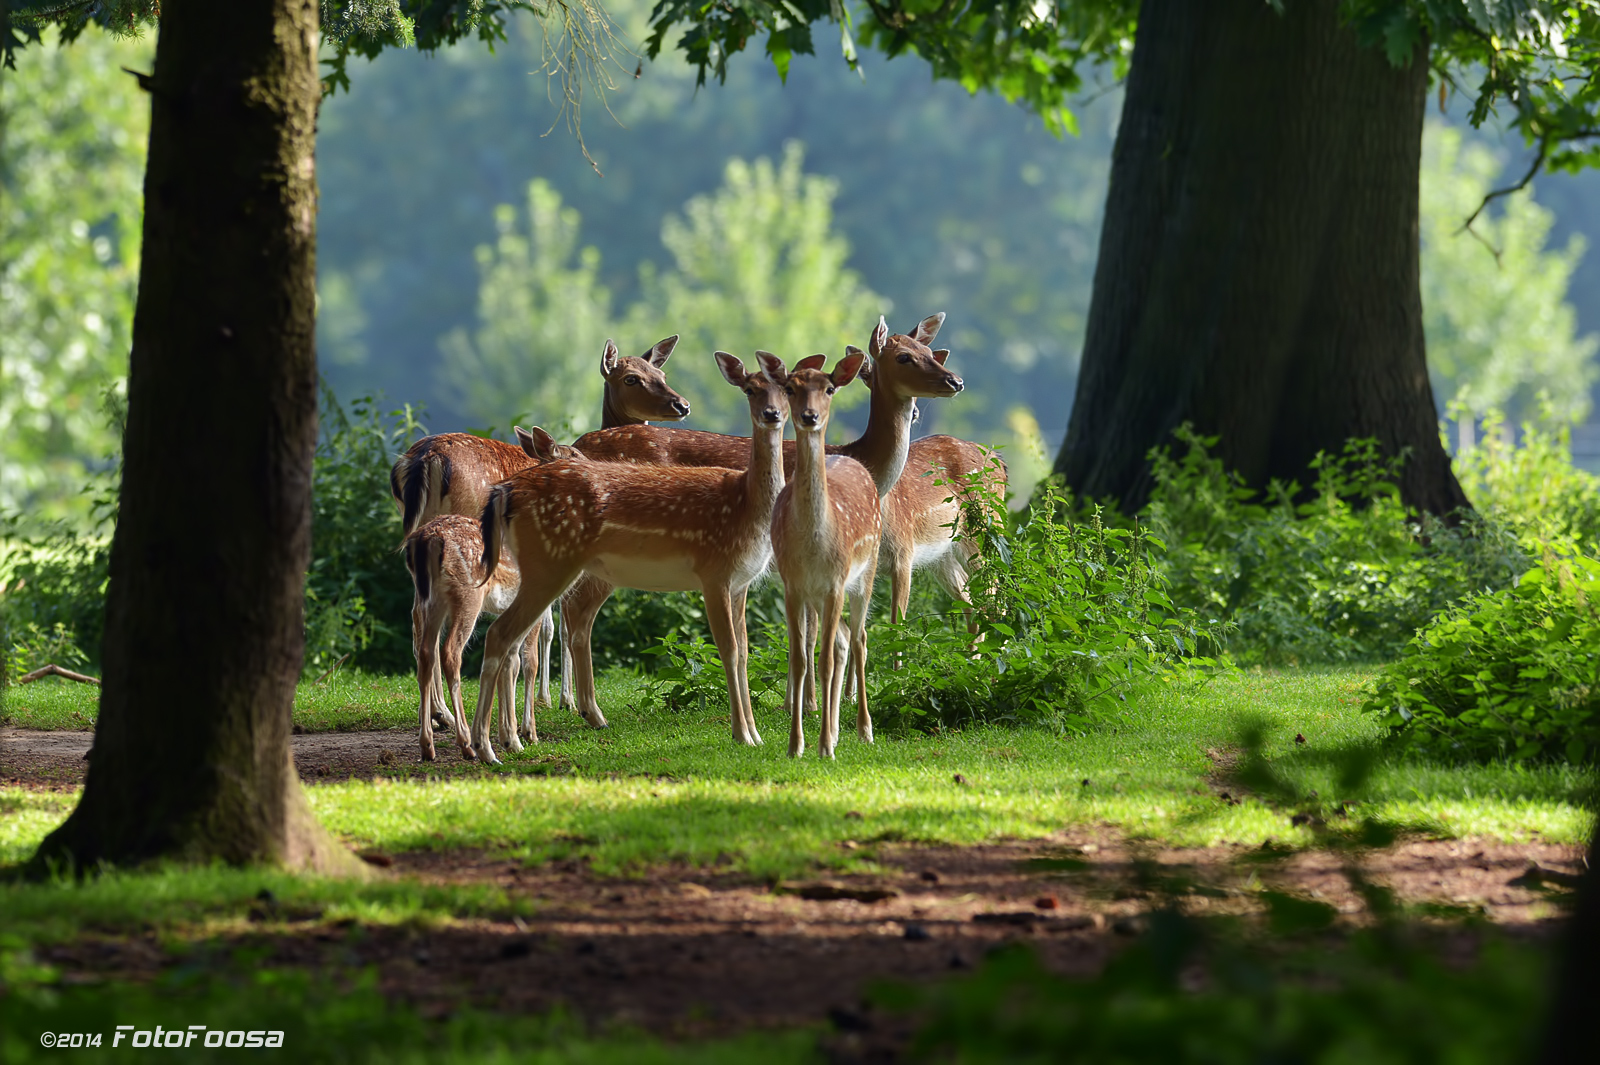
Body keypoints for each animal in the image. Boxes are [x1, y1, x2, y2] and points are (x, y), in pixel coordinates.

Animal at [400, 422, 582, 754]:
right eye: (573, 456)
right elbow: (531, 655)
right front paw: (529, 728)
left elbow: (511, 660)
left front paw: (508, 732)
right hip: (466, 595)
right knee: (449, 651)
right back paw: (461, 737)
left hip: (427, 591)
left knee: (422, 641)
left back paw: (432, 733)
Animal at [467, 351, 793, 757]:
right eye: (750, 388)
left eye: (789, 388)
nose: (772, 414)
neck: (748, 508)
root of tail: (505, 490)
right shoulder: (714, 571)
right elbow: (729, 650)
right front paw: (743, 735)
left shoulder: (740, 582)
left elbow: (746, 652)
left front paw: (755, 734)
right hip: (551, 561)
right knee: (504, 634)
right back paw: (488, 745)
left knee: (523, 636)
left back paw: (511, 737)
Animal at [764, 348, 883, 754]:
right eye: (789, 387)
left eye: (829, 388)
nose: (809, 416)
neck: (815, 542)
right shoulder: (793, 586)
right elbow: (801, 659)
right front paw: (796, 745)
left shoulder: (835, 583)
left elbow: (825, 660)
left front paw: (824, 747)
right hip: (820, 593)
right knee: (845, 639)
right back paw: (832, 730)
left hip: (867, 570)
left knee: (860, 640)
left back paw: (863, 729)